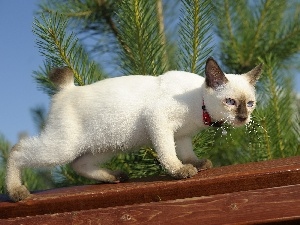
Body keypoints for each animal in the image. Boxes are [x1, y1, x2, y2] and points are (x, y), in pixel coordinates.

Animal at [5, 57, 262, 201]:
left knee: (78, 164)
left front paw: (198, 164)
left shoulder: (182, 135)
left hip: (105, 145)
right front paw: (181, 171)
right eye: (230, 102)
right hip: (62, 148)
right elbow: (169, 155)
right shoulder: (159, 121)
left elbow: (187, 153)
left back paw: (114, 177)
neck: (199, 106)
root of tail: (68, 89)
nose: (243, 117)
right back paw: (16, 192)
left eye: (250, 103)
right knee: (18, 150)